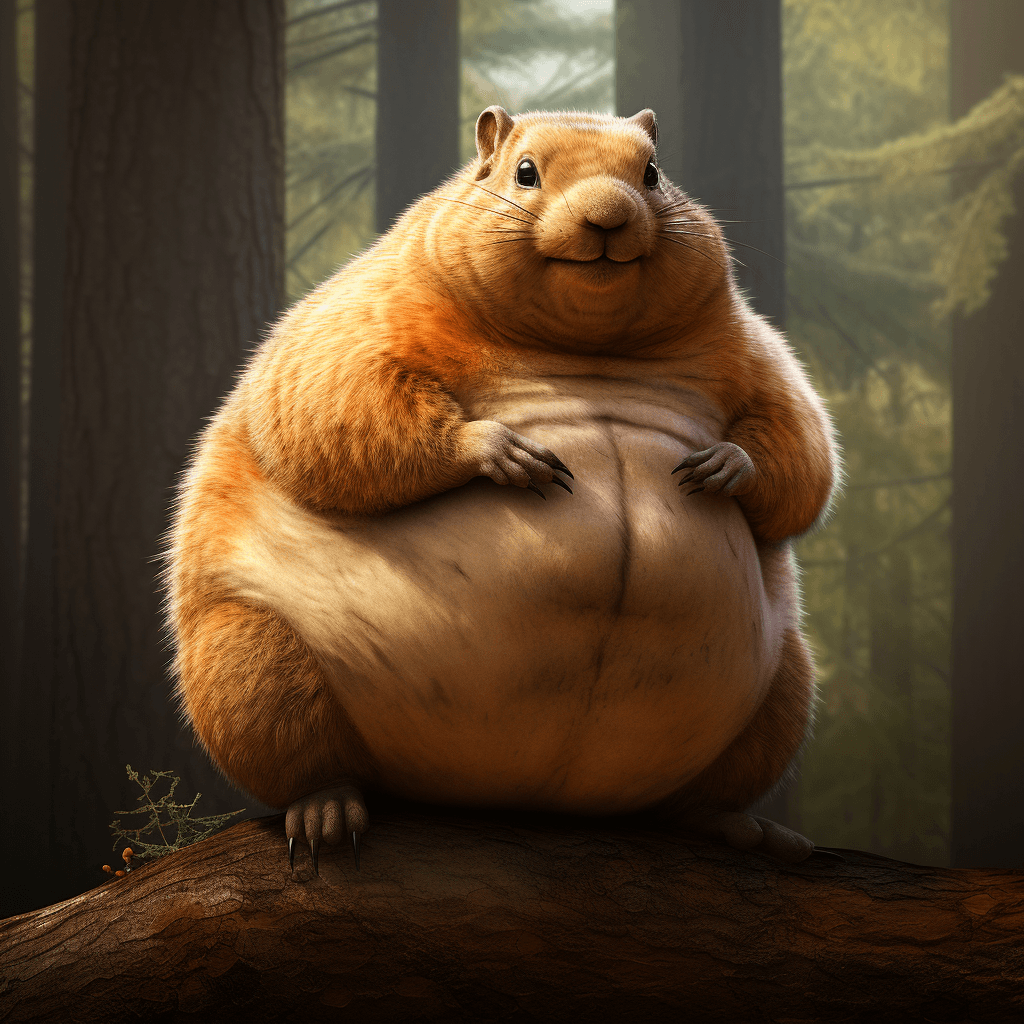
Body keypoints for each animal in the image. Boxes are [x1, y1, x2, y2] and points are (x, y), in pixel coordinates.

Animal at [166, 107, 838, 874]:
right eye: (525, 172)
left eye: (652, 172)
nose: (610, 216)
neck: (587, 344)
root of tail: (518, 792)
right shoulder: (357, 317)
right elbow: (334, 406)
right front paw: (501, 450)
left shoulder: (754, 349)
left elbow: (801, 445)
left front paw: (727, 464)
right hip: (248, 659)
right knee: (302, 755)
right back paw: (324, 810)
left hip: (783, 690)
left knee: (697, 800)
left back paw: (742, 826)